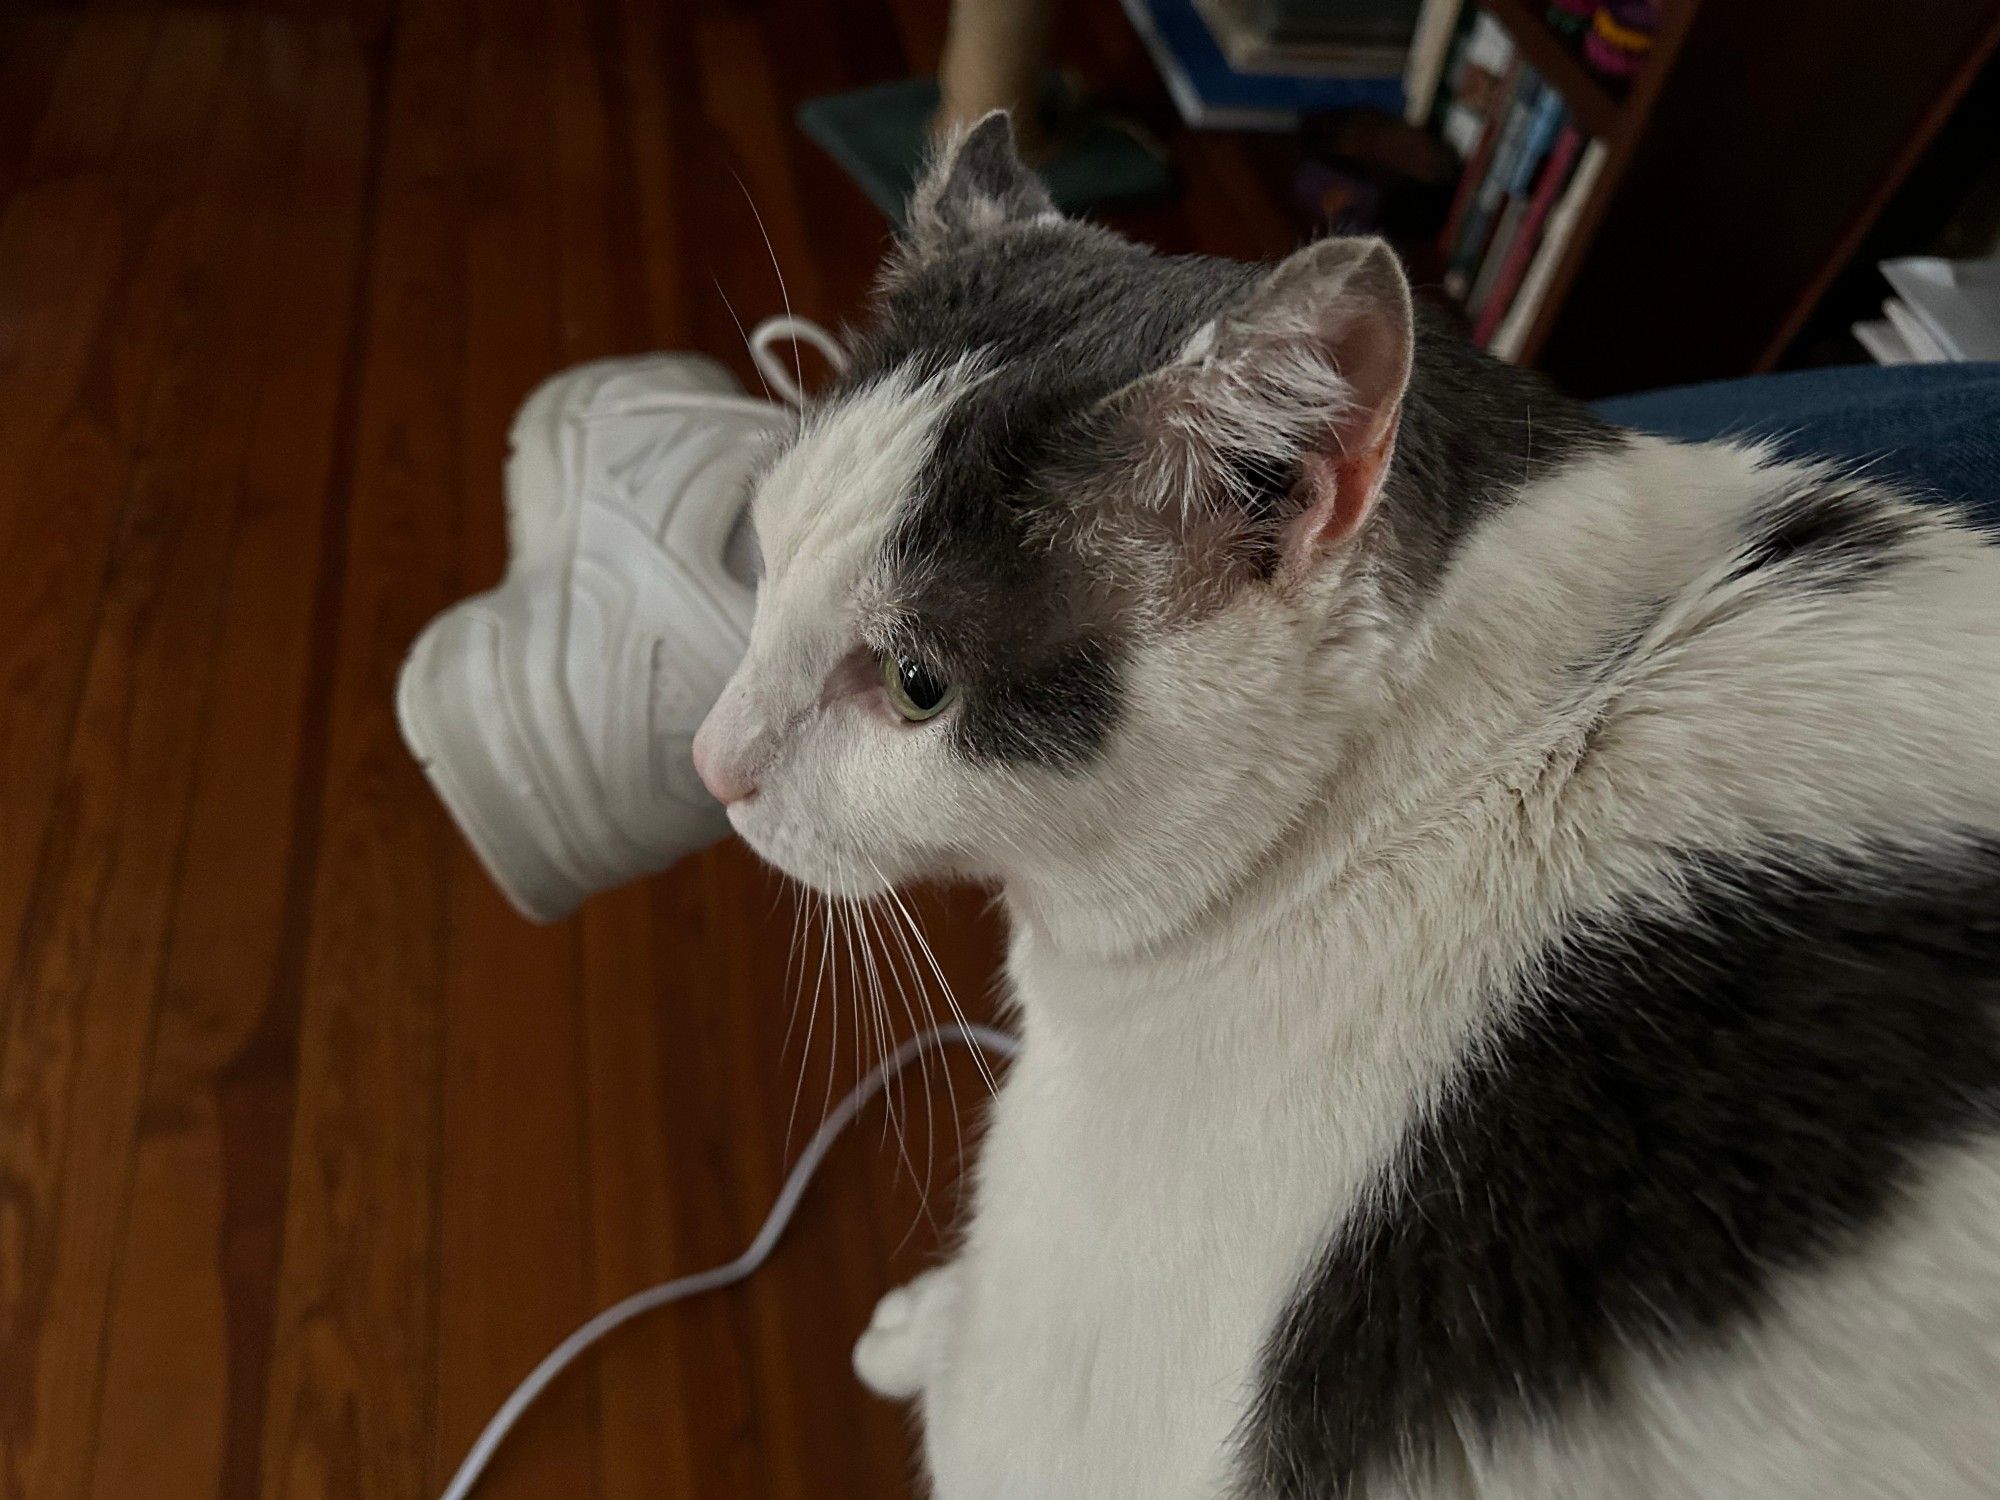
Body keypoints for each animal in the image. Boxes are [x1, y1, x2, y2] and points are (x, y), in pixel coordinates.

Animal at [688, 117, 2000, 1500]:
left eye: (915, 684)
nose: (710, 765)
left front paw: (912, 1322)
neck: (1466, 761)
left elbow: (976, 1357)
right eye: (762, 554)